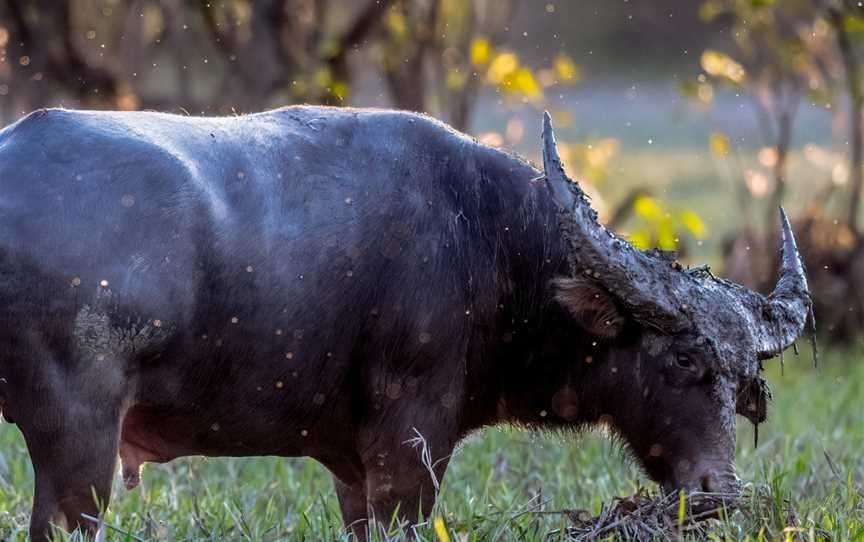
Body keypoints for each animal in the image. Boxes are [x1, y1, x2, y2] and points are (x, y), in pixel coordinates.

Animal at [0, 106, 808, 540]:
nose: (716, 491)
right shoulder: (408, 447)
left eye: (746, 381)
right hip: (79, 444)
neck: (488, 242)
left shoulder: (354, 469)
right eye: (682, 360)